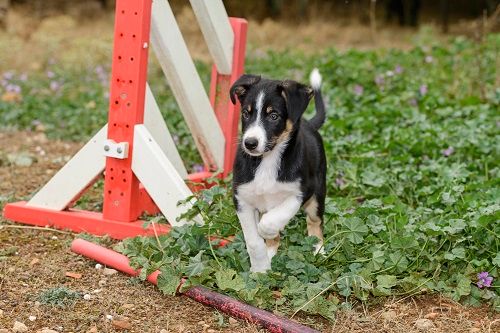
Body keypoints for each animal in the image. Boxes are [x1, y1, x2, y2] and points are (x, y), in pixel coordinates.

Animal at [229, 68, 326, 272]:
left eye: (273, 116)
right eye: (246, 114)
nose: (249, 143)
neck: (267, 160)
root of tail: (310, 125)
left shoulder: (302, 190)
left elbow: (279, 214)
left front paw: (267, 228)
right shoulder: (241, 198)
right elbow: (253, 241)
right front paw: (260, 269)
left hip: (319, 192)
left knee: (315, 221)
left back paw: (318, 249)